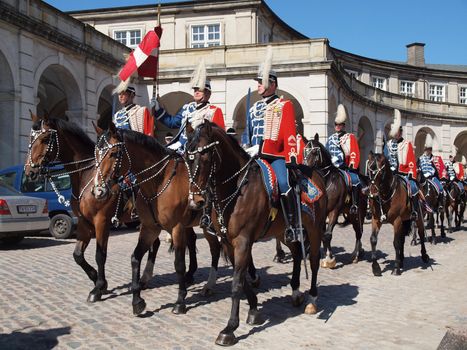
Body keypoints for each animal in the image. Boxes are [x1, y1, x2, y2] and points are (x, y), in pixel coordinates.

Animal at [22, 113, 196, 302]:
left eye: (45, 139)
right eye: (30, 138)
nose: (29, 172)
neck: (87, 176)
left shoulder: (102, 221)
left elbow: (100, 254)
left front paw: (98, 287)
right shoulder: (84, 222)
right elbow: (78, 255)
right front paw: (97, 280)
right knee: (167, 242)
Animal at [91, 123, 260, 318]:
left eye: (113, 153)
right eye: (96, 153)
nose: (97, 191)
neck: (159, 182)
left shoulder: (177, 228)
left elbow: (179, 263)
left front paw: (180, 302)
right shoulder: (149, 228)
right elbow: (135, 257)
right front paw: (137, 300)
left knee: (220, 250)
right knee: (215, 248)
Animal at [185, 121, 328, 346]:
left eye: (206, 158)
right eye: (185, 158)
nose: (195, 202)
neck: (237, 189)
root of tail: (315, 173)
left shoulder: (243, 241)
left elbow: (236, 283)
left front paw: (229, 328)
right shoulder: (229, 242)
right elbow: (242, 278)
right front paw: (253, 311)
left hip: (314, 229)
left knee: (312, 261)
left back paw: (312, 300)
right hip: (285, 233)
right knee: (297, 253)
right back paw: (296, 292)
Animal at [306, 133, 368, 266]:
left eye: (314, 151)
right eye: (304, 150)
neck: (326, 180)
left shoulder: (334, 211)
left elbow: (328, 235)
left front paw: (329, 259)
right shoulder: (322, 213)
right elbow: (323, 234)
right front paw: (326, 255)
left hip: (359, 213)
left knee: (359, 232)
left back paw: (356, 255)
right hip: (350, 214)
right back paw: (359, 252)